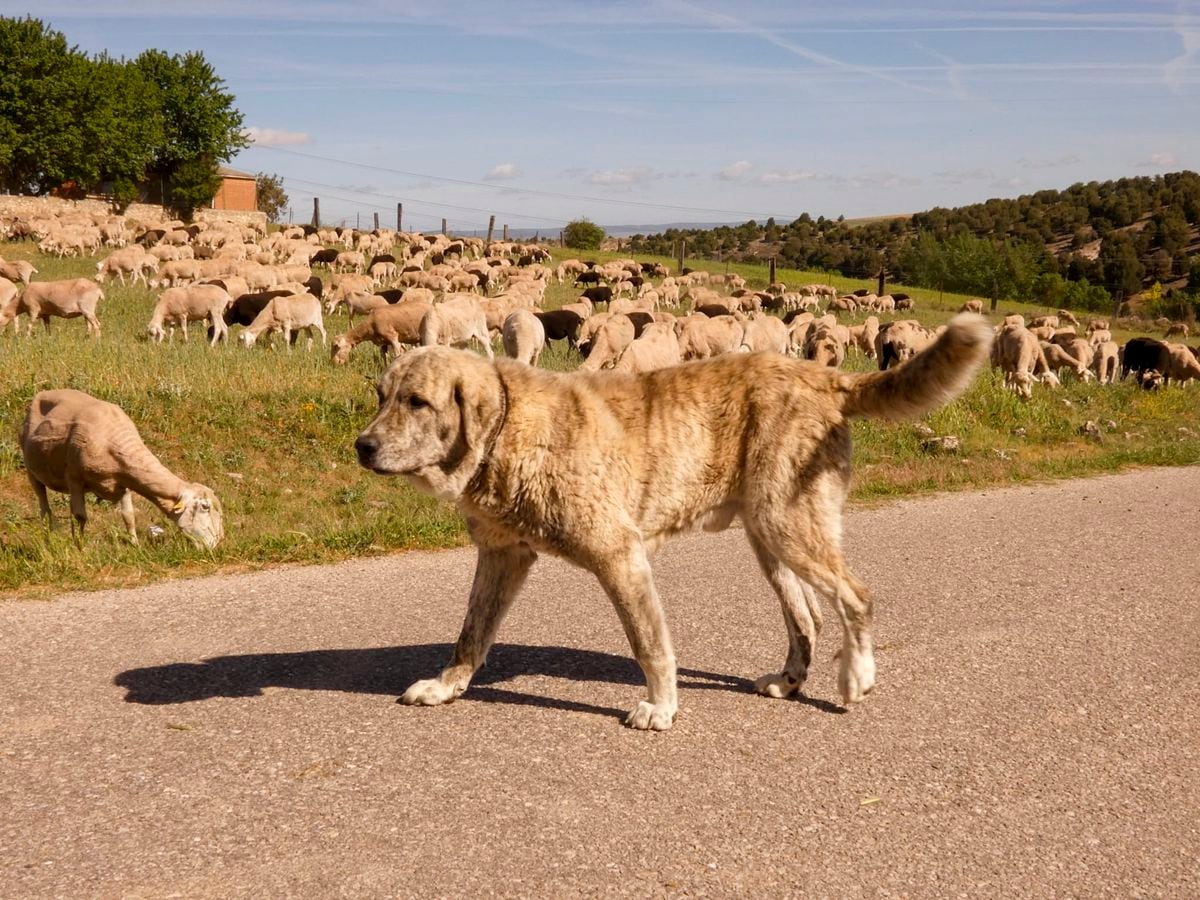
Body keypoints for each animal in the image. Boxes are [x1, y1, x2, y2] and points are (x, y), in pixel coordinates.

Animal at [355, 316, 993, 734]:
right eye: (382, 396)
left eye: (417, 402)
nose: (361, 446)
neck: (509, 428)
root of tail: (822, 377)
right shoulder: (502, 557)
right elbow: (471, 632)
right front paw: (447, 687)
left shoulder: (621, 557)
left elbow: (650, 645)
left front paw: (661, 708)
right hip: (768, 538)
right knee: (807, 618)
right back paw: (790, 681)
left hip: (788, 525)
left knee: (855, 596)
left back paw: (855, 677)